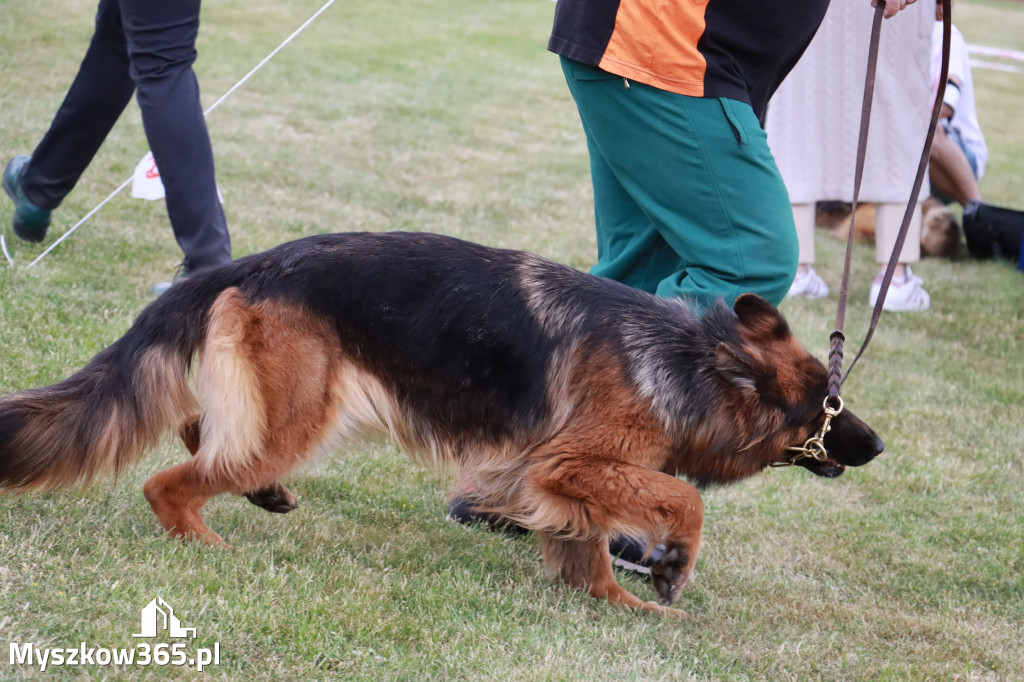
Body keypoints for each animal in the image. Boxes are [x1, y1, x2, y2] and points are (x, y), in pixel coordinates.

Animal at [0, 231, 880, 614]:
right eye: (827, 409)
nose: (876, 444)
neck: (692, 358)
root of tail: (259, 260)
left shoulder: (559, 478)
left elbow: (587, 543)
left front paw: (614, 602)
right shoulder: (570, 464)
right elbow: (683, 499)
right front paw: (668, 568)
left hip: (280, 410)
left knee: (199, 428)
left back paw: (262, 496)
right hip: (301, 419)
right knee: (170, 479)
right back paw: (204, 538)